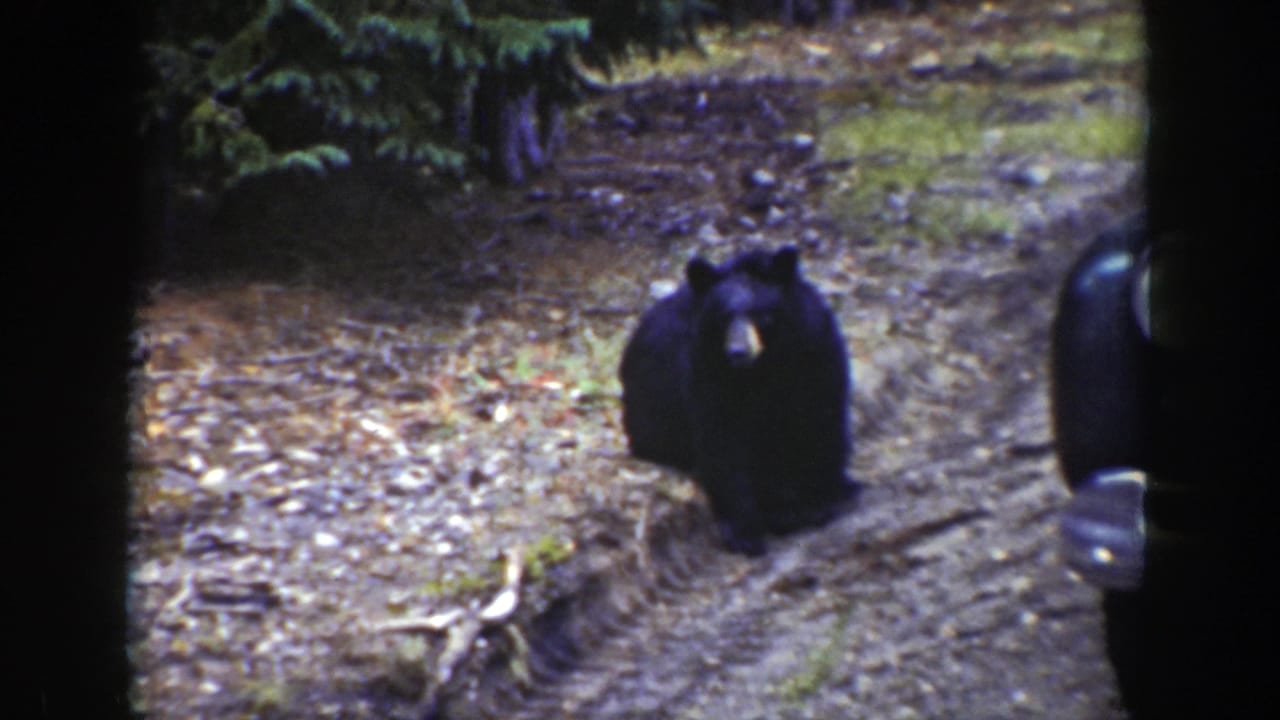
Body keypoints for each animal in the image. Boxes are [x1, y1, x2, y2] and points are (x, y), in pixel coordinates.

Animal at [620, 245, 859, 555]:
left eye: (760, 314)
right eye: (723, 316)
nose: (738, 351)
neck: (765, 366)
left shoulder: (815, 351)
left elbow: (821, 418)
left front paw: (824, 497)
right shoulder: (707, 368)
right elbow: (722, 440)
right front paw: (745, 531)